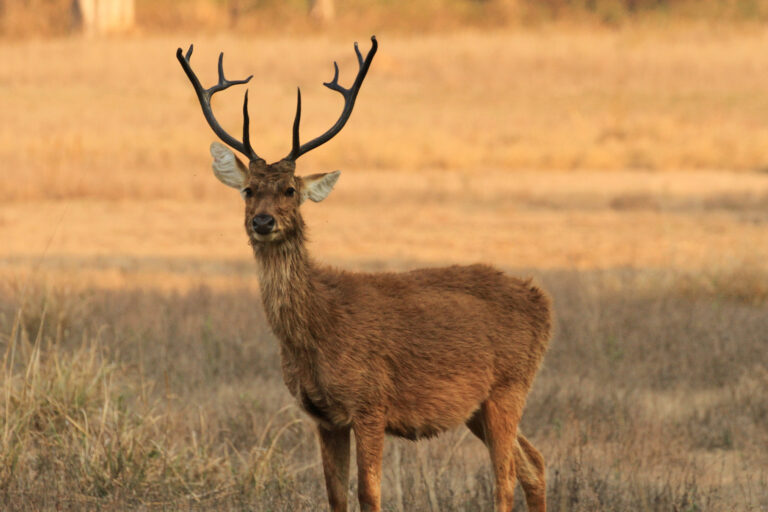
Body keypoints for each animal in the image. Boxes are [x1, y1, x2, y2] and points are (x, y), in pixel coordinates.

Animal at [177, 37, 552, 512]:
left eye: (290, 190)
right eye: (247, 190)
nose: (263, 221)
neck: (319, 327)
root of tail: (543, 302)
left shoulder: (372, 402)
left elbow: (368, 494)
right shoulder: (323, 415)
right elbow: (336, 495)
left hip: (508, 386)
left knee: (505, 479)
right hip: (478, 407)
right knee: (534, 463)